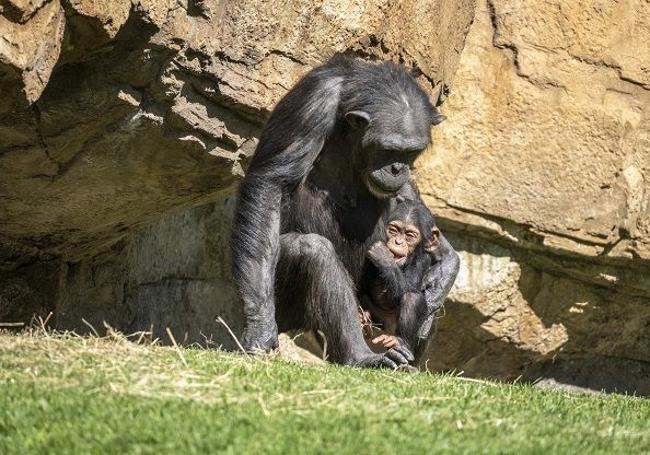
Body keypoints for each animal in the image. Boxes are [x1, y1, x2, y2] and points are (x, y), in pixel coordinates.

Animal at [356, 198, 442, 362]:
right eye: (394, 230)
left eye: (409, 235)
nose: (398, 242)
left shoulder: (423, 261)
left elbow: (409, 287)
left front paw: (384, 257)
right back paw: (364, 318)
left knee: (412, 297)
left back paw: (398, 341)